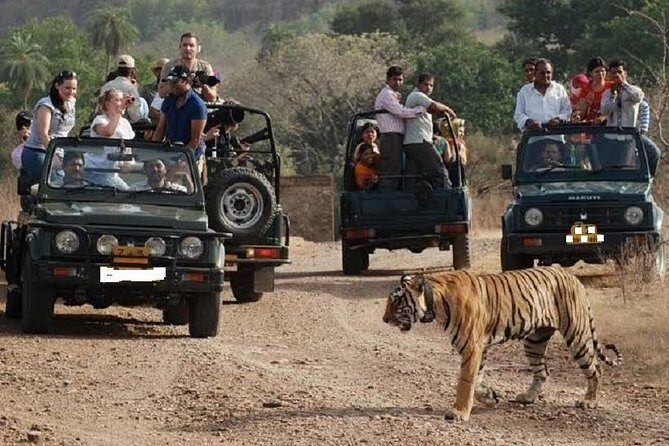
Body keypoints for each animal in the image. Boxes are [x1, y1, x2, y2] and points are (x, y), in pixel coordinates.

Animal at [382, 266, 621, 422]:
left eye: (396, 301)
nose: (384, 319)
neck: (436, 302)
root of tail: (572, 276)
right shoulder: (479, 348)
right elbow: (477, 381)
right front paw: (490, 397)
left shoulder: (472, 346)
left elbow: (465, 382)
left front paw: (459, 412)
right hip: (534, 341)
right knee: (542, 372)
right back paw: (528, 397)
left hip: (576, 334)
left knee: (596, 368)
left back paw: (589, 401)